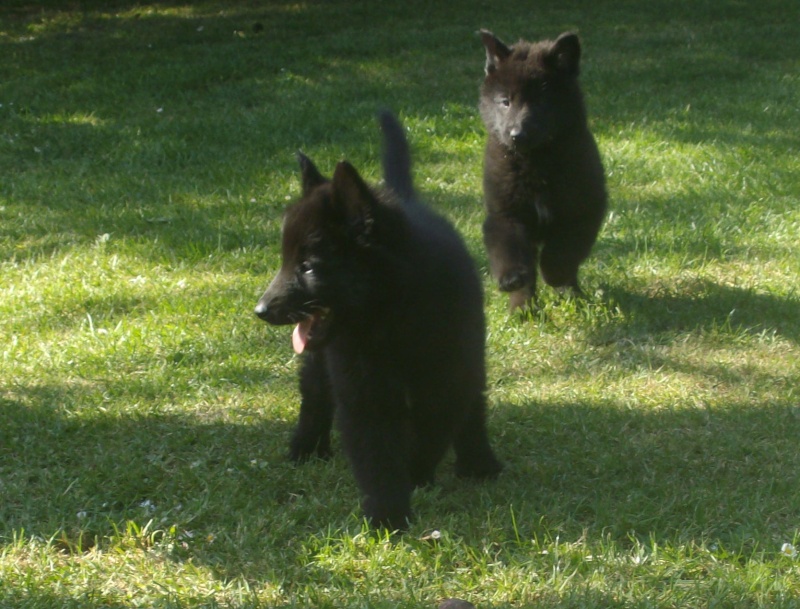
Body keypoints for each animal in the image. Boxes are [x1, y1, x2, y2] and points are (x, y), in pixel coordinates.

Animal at [255, 113, 500, 528]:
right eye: (286, 261)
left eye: (308, 267)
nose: (261, 310)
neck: (391, 317)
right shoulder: (361, 387)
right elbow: (375, 451)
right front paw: (387, 514)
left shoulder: (447, 377)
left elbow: (434, 429)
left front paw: (416, 474)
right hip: (320, 360)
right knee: (315, 393)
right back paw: (306, 447)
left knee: (473, 406)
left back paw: (478, 461)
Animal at [476, 29, 608, 308]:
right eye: (505, 101)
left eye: (540, 101)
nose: (516, 135)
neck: (535, 162)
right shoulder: (506, 212)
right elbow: (510, 250)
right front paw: (514, 282)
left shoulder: (583, 209)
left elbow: (563, 251)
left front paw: (556, 275)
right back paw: (523, 308)